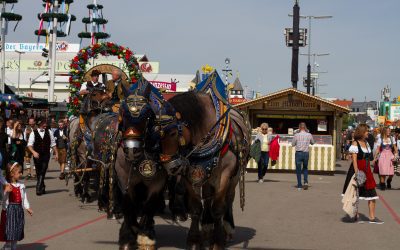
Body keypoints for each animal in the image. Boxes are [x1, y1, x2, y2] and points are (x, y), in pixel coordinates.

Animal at [156, 92, 250, 250]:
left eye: (174, 133)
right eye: (154, 132)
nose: (171, 167)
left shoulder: (224, 175)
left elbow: (218, 208)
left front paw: (218, 241)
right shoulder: (189, 174)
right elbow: (195, 208)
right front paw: (194, 241)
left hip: (234, 176)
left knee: (229, 198)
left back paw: (227, 229)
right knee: (207, 198)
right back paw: (207, 227)